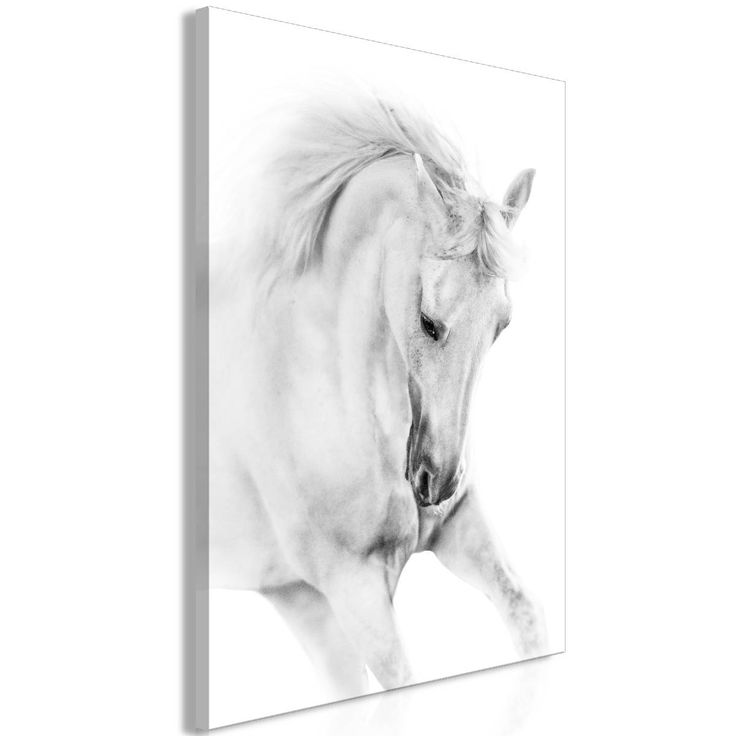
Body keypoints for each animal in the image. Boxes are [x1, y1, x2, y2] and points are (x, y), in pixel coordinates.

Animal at [209, 94, 547, 697]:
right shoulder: (354, 590)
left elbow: (527, 621)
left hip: (295, 601)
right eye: (428, 320)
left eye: (502, 325)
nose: (436, 481)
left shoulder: (462, 531)